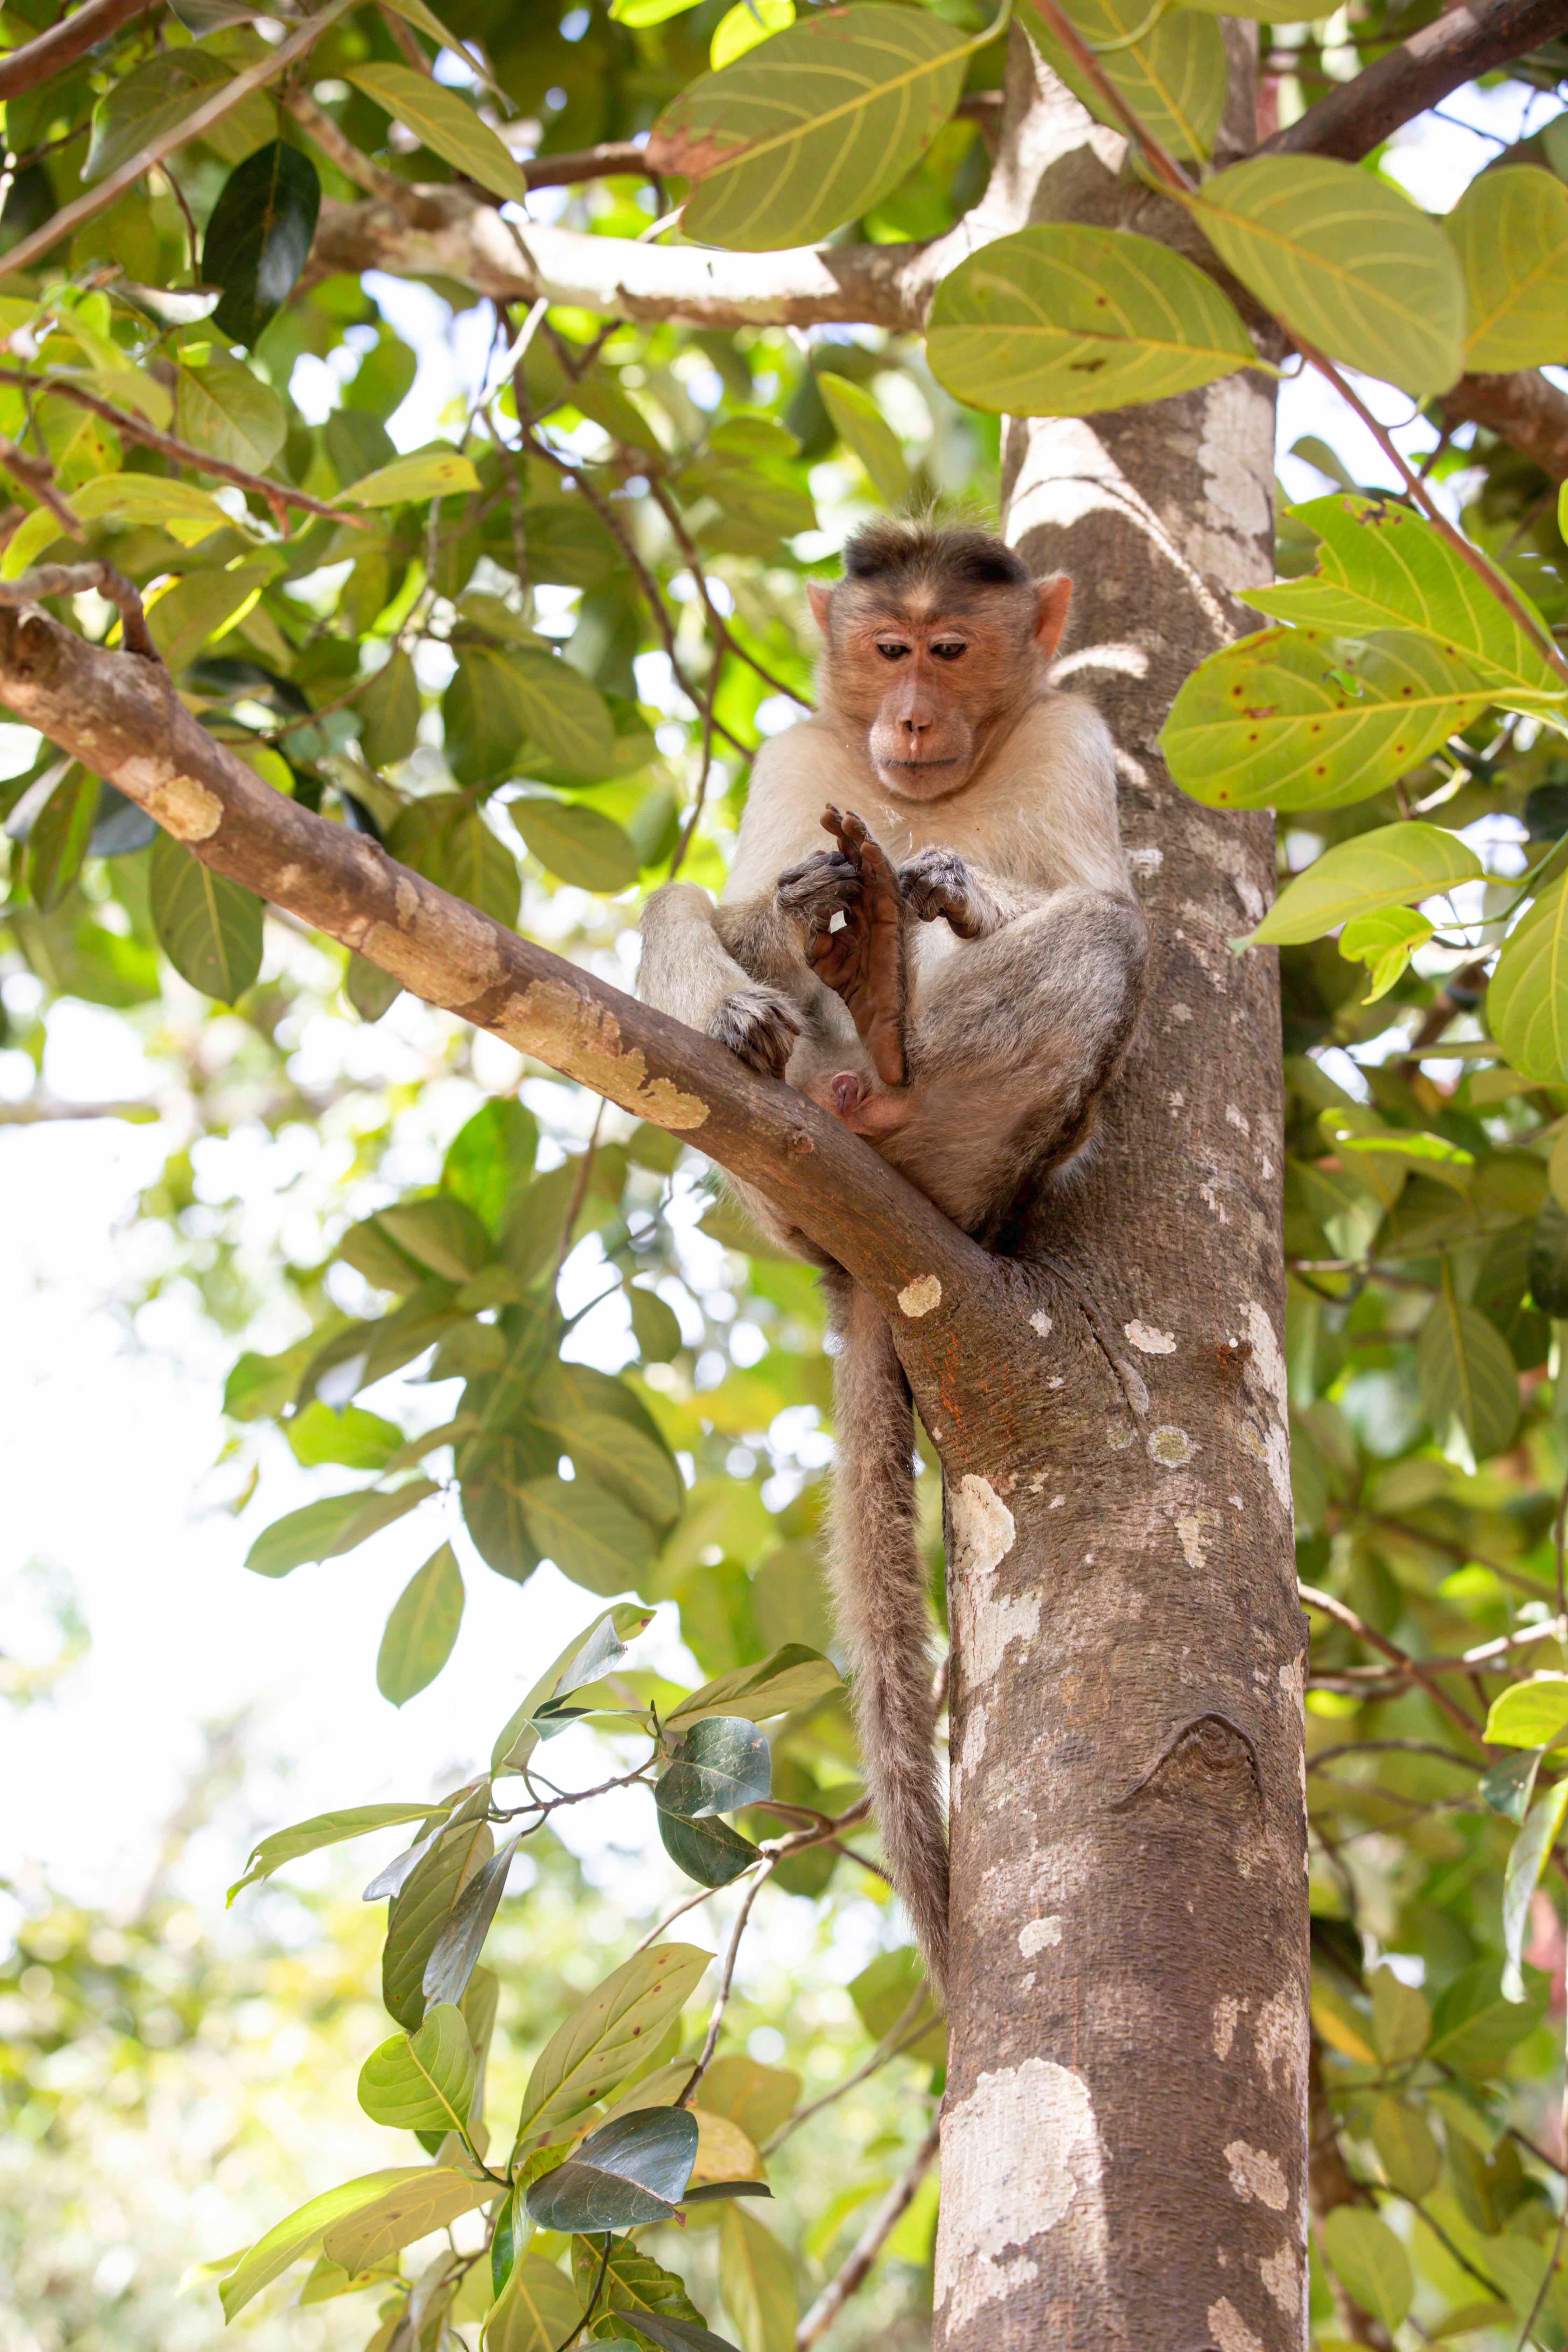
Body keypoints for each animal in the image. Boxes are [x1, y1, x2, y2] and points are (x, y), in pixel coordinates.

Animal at [638, 522, 1149, 1990]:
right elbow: (734, 888)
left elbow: (1099, 897)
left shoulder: (1074, 736)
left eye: (952, 650)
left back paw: (889, 1056)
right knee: (694, 914)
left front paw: (950, 888)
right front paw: (799, 908)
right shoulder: (800, 753)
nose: (911, 716)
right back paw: (778, 1007)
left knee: (1101, 941)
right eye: (885, 649)